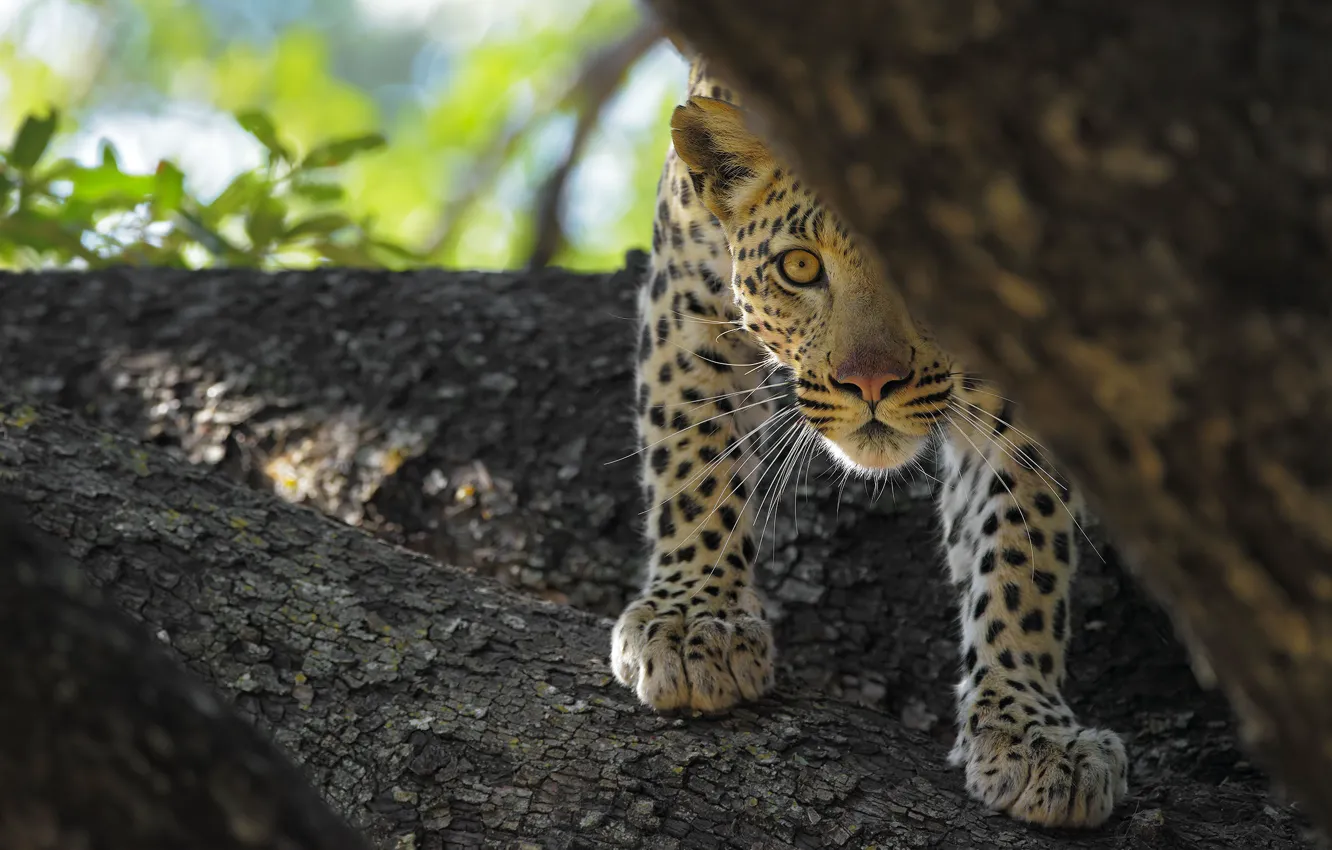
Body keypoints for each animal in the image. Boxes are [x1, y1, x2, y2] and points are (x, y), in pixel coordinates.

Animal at [609, 57, 1129, 829]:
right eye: (800, 267)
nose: (871, 382)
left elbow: (1023, 544)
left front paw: (1031, 731)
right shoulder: (686, 279)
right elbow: (694, 455)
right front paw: (692, 619)